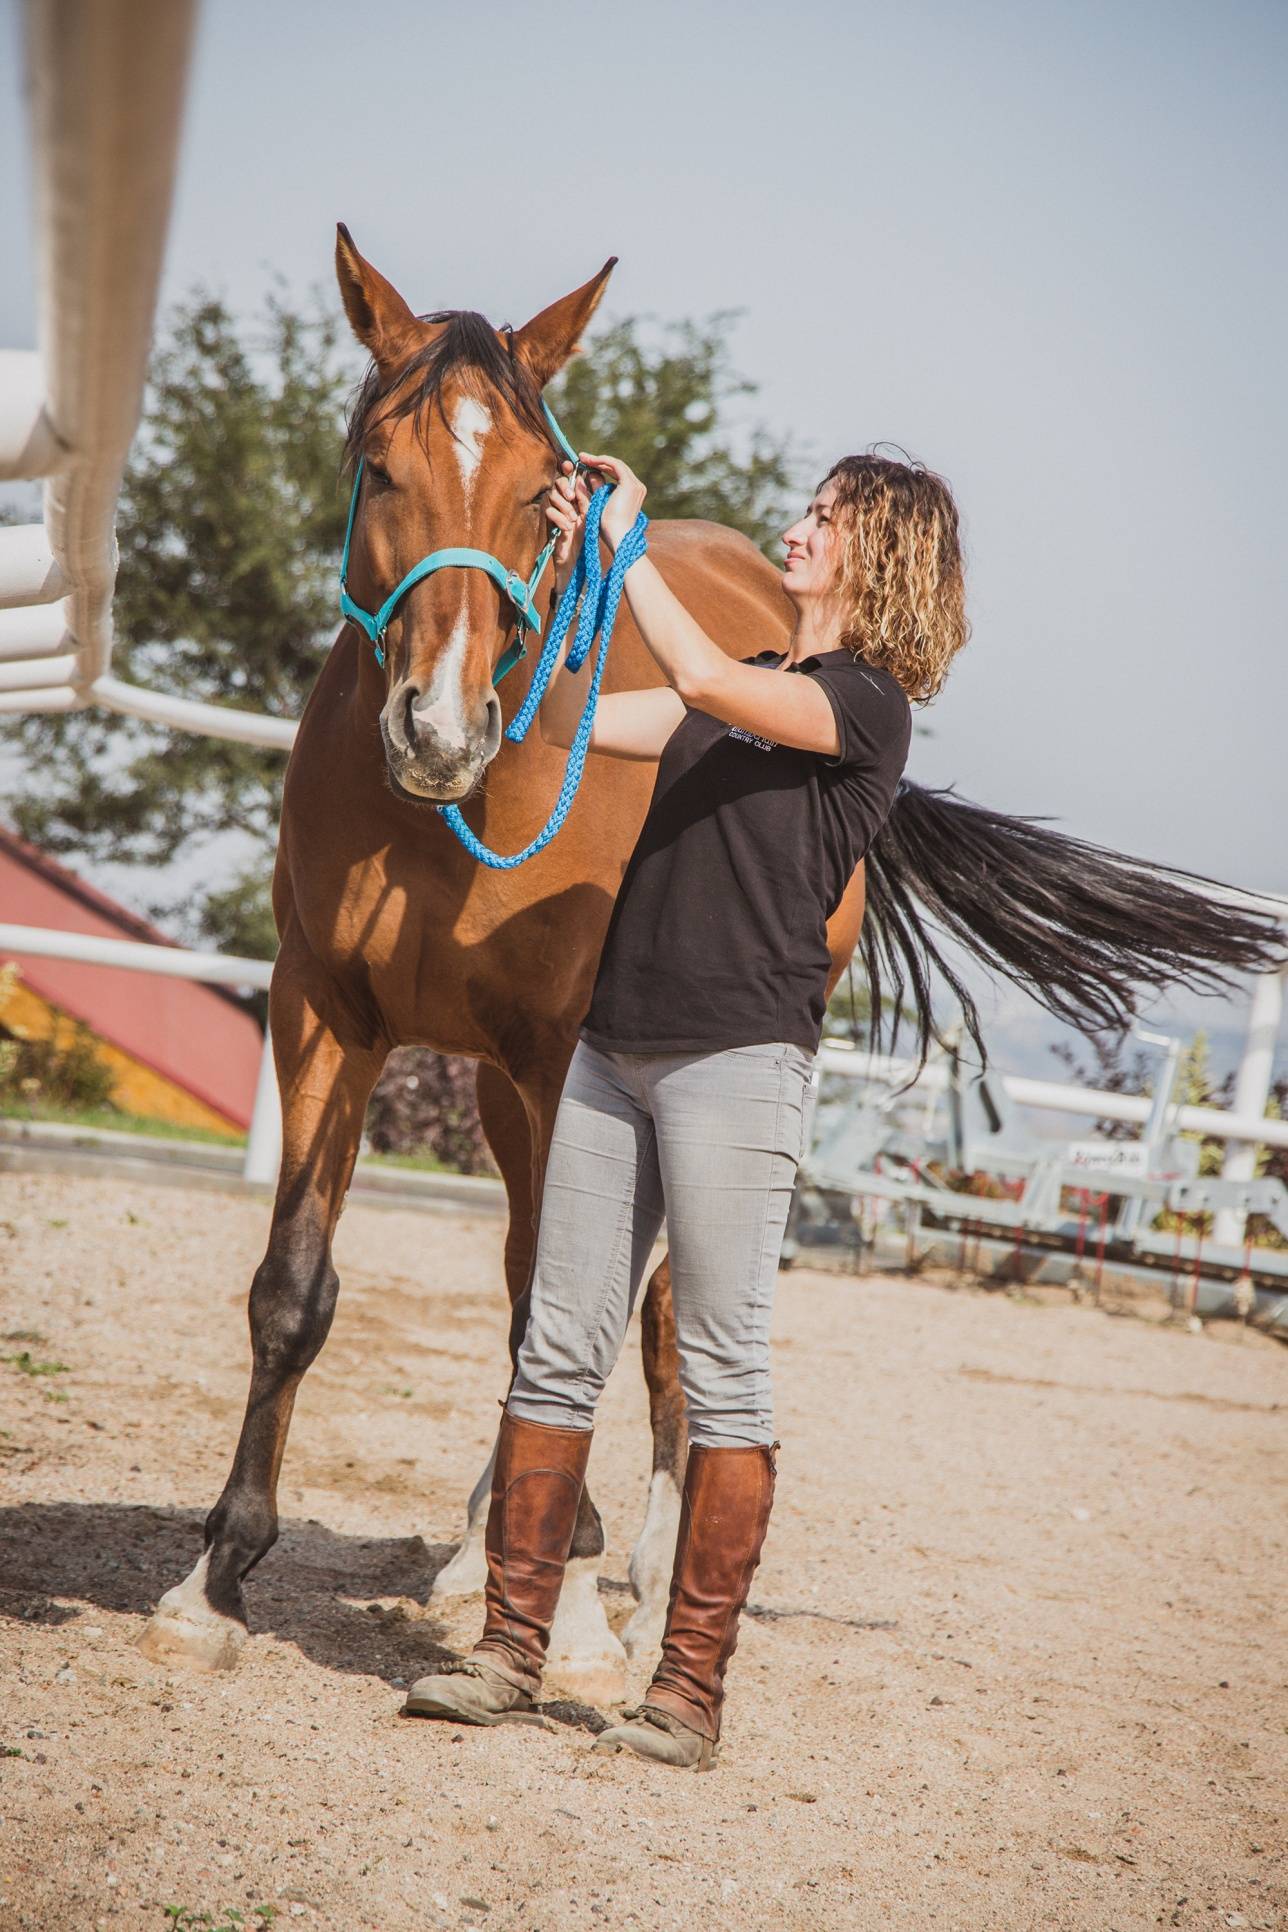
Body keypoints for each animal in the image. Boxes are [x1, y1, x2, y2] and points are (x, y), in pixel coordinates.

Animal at [139, 233, 1282, 1700]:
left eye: (541, 494)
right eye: (380, 466)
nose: (440, 729)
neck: (451, 814)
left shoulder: (562, 1060)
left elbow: (562, 1309)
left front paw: (567, 1607)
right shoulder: (326, 1017)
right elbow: (298, 1291)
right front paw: (215, 1580)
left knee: (663, 1310)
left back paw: (627, 1590)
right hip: (510, 1086)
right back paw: (481, 1551)